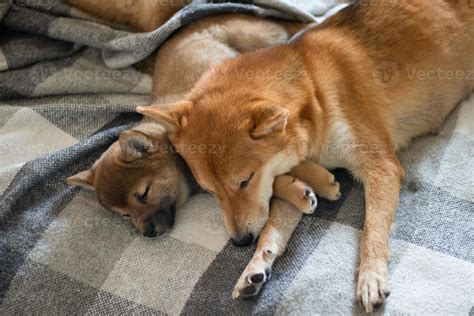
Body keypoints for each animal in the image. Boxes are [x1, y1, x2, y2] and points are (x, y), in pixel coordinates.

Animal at [137, 0, 474, 312]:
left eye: (245, 181)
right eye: (208, 191)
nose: (240, 241)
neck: (314, 89)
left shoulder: (381, 166)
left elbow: (372, 230)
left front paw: (371, 276)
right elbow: (273, 226)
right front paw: (255, 266)